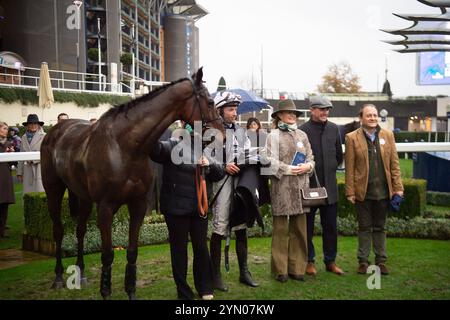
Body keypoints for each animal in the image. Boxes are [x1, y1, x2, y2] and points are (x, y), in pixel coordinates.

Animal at [41, 68, 224, 300]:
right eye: (210, 101)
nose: (222, 134)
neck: (125, 147)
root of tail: (56, 129)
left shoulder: (138, 205)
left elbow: (132, 252)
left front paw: (131, 292)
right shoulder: (105, 208)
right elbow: (107, 255)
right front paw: (106, 292)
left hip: (83, 198)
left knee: (80, 230)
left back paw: (80, 273)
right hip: (53, 191)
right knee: (58, 230)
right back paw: (57, 277)